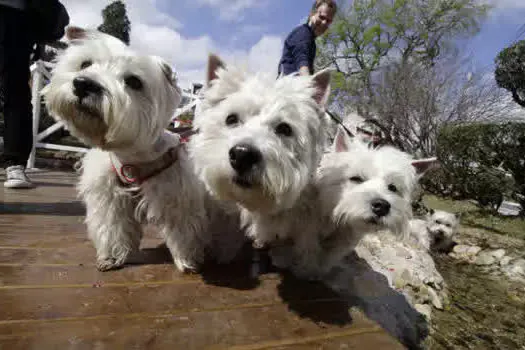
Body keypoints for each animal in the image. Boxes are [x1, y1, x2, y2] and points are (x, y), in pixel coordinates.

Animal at [45, 28, 242, 274]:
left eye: (133, 81)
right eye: (85, 64)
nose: (83, 84)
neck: (131, 156)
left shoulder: (177, 197)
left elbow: (183, 232)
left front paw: (186, 260)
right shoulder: (110, 199)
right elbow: (113, 227)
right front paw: (111, 257)